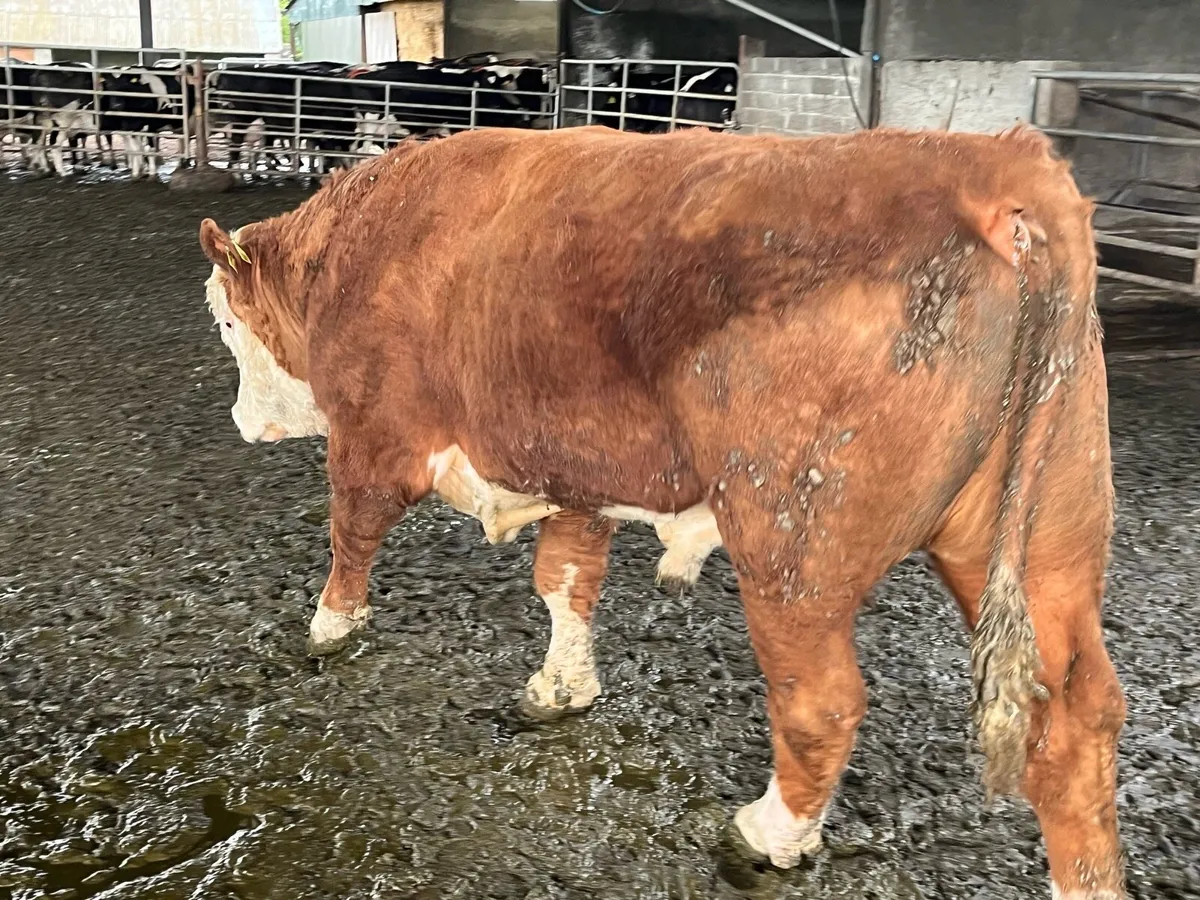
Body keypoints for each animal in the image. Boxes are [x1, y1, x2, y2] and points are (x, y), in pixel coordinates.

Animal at [196, 126, 1124, 898]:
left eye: (227, 323)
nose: (237, 421)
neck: (355, 251)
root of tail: (992, 163)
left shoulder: (369, 434)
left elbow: (351, 532)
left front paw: (328, 628)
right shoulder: (577, 469)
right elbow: (565, 580)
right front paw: (560, 687)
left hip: (792, 540)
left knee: (821, 700)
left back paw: (768, 835)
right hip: (1041, 535)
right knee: (1079, 718)